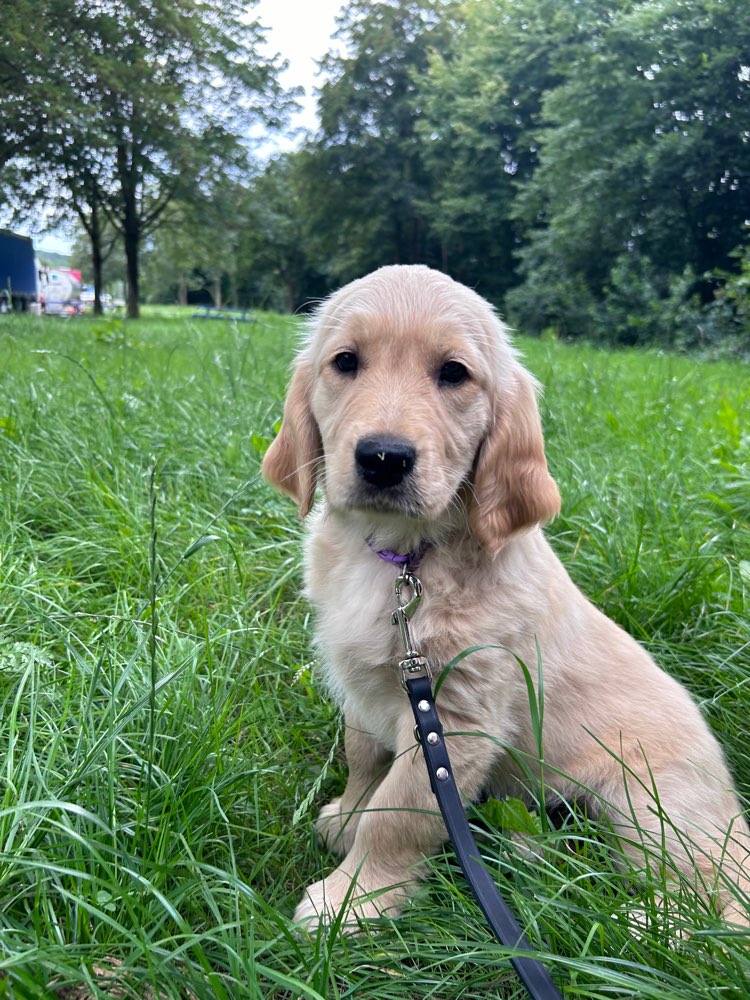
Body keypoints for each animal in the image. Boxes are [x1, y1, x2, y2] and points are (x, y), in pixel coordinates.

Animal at [262, 262, 748, 924]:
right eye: (345, 362)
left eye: (453, 373)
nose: (384, 457)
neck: (405, 558)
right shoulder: (366, 689)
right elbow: (363, 759)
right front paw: (345, 819)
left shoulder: (455, 719)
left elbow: (399, 815)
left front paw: (352, 901)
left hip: (652, 802)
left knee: (709, 900)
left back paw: (639, 923)